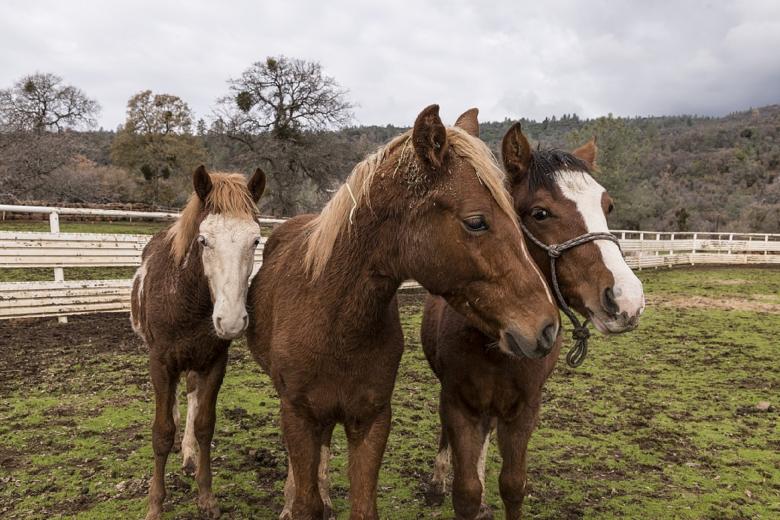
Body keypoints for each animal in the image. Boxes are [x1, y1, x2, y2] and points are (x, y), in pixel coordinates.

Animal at [130, 165, 266, 520]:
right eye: (204, 241)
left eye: (255, 240)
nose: (231, 320)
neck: (187, 300)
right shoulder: (160, 363)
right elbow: (162, 432)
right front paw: (155, 504)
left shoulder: (214, 363)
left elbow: (205, 425)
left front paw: (206, 496)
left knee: (191, 397)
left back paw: (189, 457)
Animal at [245, 105, 560, 520]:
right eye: (476, 221)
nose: (547, 326)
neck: (334, 322)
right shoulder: (298, 415)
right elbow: (306, 502)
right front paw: (299, 500)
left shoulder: (372, 420)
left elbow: (362, 506)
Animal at [421, 123, 646, 519]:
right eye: (540, 213)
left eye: (607, 206)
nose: (626, 299)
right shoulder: (459, 402)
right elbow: (465, 491)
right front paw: (455, 488)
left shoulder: (524, 407)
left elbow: (512, 486)